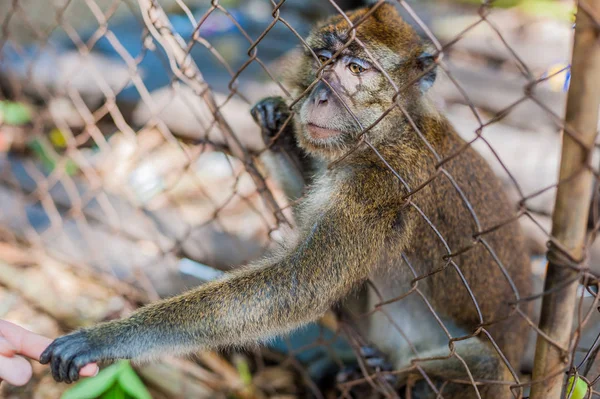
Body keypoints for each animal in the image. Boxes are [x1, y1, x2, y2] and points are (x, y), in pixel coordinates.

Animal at [41, 3, 528, 399]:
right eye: (324, 59)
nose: (320, 94)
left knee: (483, 365)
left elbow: (298, 286)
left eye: (356, 69)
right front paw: (274, 125)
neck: (388, 133)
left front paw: (106, 339)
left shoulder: (383, 184)